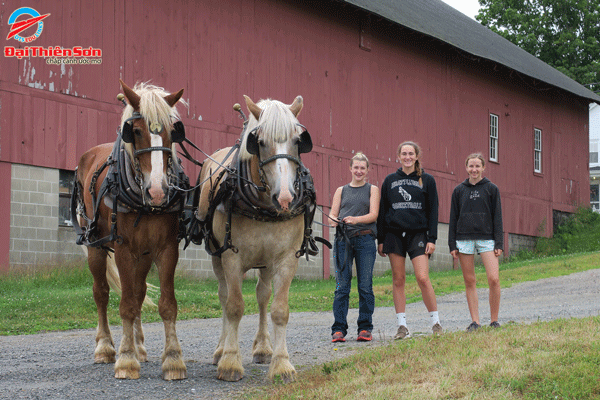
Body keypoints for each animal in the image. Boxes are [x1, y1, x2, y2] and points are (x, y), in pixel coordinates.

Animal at [74, 79, 188, 380]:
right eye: (135, 131)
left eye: (172, 131)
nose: (158, 192)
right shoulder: (124, 249)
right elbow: (125, 305)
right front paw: (125, 360)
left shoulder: (166, 249)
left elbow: (165, 304)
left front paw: (173, 360)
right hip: (95, 245)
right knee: (101, 293)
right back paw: (105, 348)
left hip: (143, 255)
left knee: (138, 291)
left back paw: (139, 346)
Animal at [196, 94, 318, 382]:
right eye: (259, 142)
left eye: (298, 141)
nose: (284, 198)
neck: (264, 207)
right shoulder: (231, 256)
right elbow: (234, 306)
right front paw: (230, 362)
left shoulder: (286, 259)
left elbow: (279, 309)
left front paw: (281, 364)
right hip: (217, 256)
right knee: (224, 295)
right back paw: (221, 350)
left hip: (266, 262)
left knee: (263, 295)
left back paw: (263, 347)